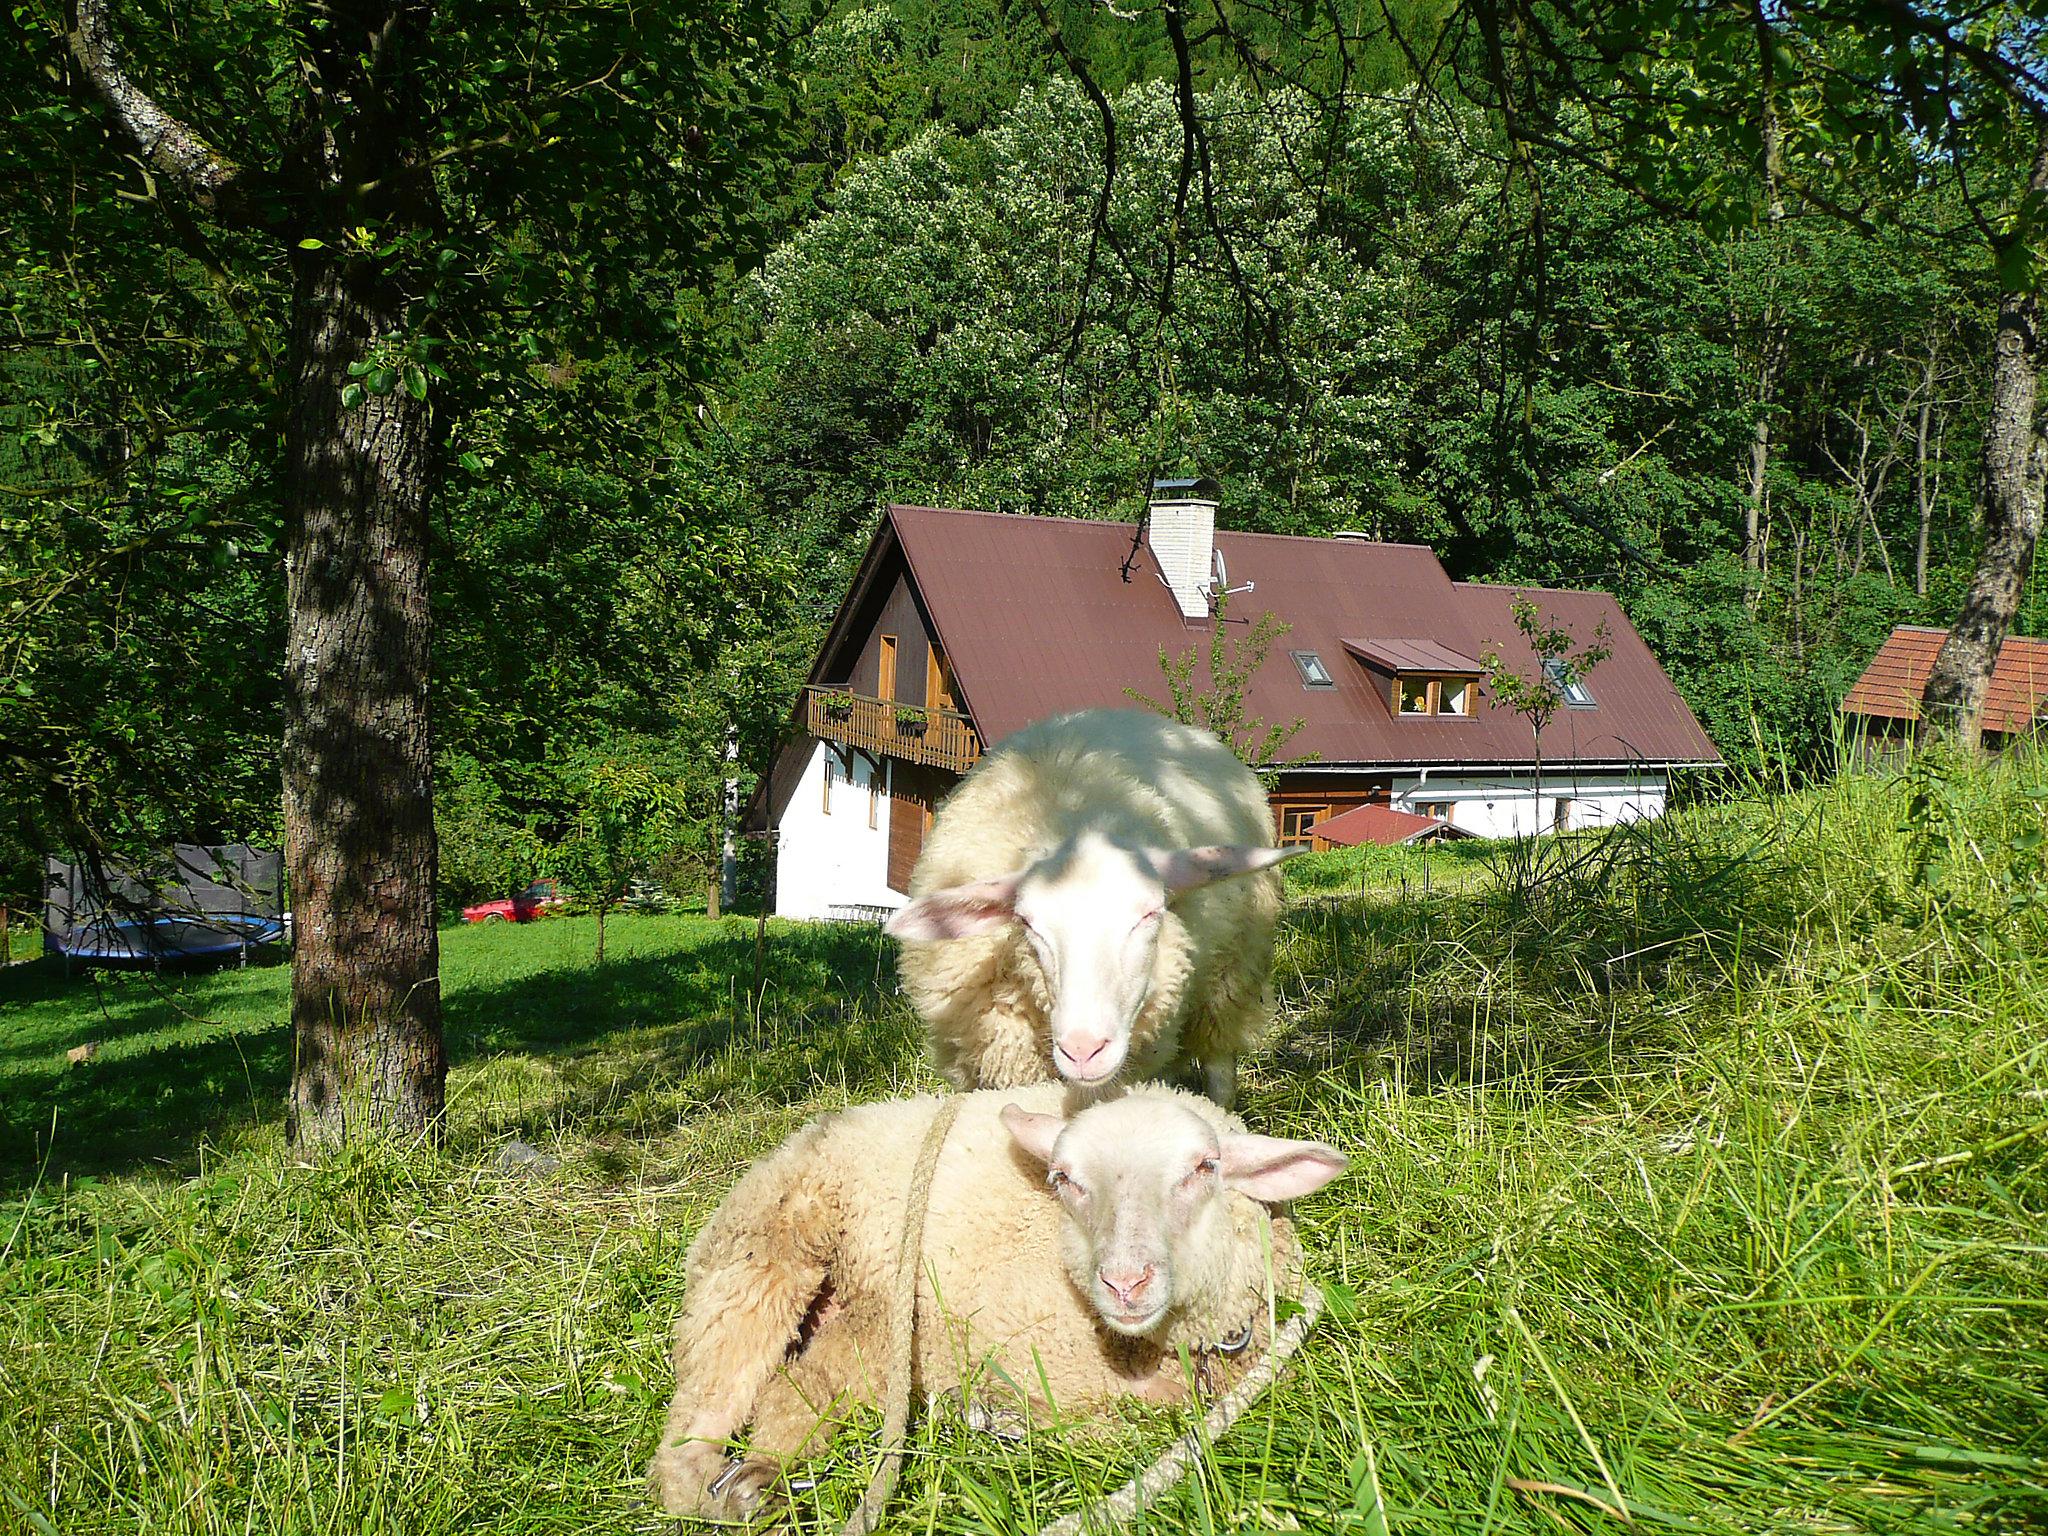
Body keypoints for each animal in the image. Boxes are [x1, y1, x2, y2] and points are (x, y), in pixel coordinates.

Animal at [643, 1089, 1343, 1523]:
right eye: (1064, 1179)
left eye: (1206, 1166)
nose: (1125, 1282)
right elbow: (1119, 1426)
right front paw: (997, 1418)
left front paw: (996, 1419)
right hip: (763, 1262)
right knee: (695, 1427)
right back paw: (724, 1490)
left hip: (872, 1328)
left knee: (798, 1388)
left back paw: (762, 1474)